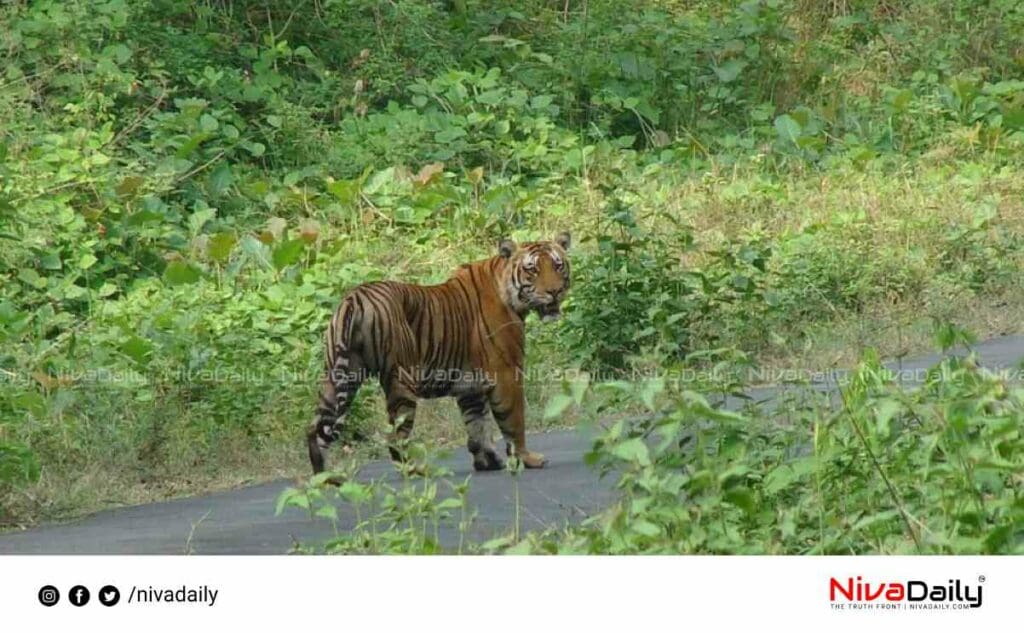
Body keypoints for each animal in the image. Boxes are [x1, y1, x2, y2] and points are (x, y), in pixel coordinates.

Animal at [307, 231, 573, 473]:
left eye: (558, 266)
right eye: (532, 270)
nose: (554, 292)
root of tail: (355, 298)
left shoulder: (471, 386)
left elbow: (477, 425)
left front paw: (487, 461)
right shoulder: (507, 372)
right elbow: (514, 422)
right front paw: (528, 459)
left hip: (339, 376)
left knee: (315, 430)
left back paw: (325, 479)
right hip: (401, 381)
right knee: (395, 435)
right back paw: (415, 470)